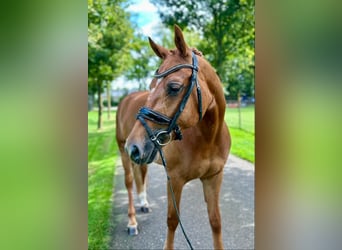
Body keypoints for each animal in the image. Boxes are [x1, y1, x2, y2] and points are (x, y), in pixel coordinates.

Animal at [116, 24, 231, 248]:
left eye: (174, 87)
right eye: (151, 87)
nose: (134, 146)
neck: (208, 139)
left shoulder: (214, 177)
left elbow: (216, 221)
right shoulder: (175, 180)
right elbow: (172, 221)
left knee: (141, 173)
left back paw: (144, 202)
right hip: (124, 152)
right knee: (129, 182)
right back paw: (132, 222)